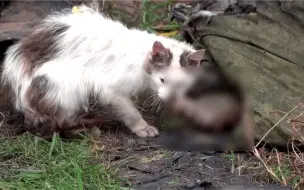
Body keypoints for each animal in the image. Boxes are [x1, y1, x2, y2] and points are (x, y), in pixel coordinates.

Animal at [1, 4, 205, 138]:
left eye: (181, 83)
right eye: (163, 80)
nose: (170, 95)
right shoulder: (109, 89)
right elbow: (130, 111)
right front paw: (143, 127)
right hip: (63, 84)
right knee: (58, 122)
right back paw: (87, 129)